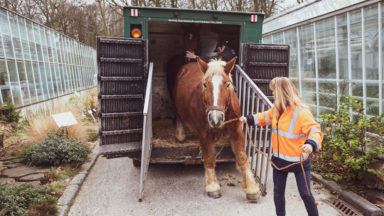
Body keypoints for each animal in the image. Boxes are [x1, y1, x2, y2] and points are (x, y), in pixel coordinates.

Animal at [174, 57, 260, 201]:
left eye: (227, 84)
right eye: (204, 85)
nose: (215, 119)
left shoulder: (237, 132)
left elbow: (242, 158)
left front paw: (252, 188)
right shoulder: (204, 135)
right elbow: (209, 158)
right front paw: (213, 186)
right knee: (179, 115)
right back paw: (180, 134)